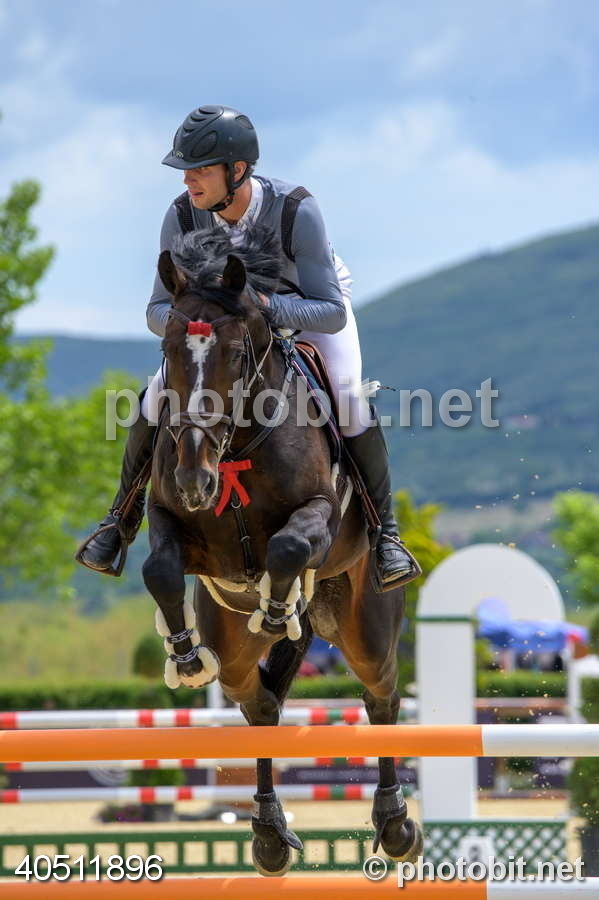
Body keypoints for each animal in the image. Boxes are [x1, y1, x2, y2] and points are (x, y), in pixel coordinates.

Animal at [141, 225, 423, 875]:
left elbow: (291, 544)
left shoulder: (319, 515)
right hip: (233, 647)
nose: (196, 480)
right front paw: (184, 655)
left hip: (368, 628)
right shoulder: (168, 519)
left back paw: (395, 823)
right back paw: (269, 835)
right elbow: (158, 566)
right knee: (261, 706)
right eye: (168, 350)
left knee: (382, 696)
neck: (238, 446)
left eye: (237, 354)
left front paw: (277, 606)